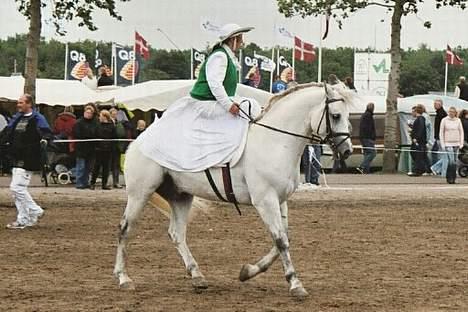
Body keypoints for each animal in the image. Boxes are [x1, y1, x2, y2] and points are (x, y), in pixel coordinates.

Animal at [114, 81, 354, 298]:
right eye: (335, 116)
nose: (347, 151)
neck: (275, 141)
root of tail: (138, 140)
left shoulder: (280, 199)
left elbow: (283, 239)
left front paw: (248, 271)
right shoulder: (265, 201)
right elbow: (280, 240)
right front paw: (295, 284)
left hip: (181, 196)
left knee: (177, 233)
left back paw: (197, 276)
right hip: (140, 194)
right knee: (125, 230)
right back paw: (123, 278)